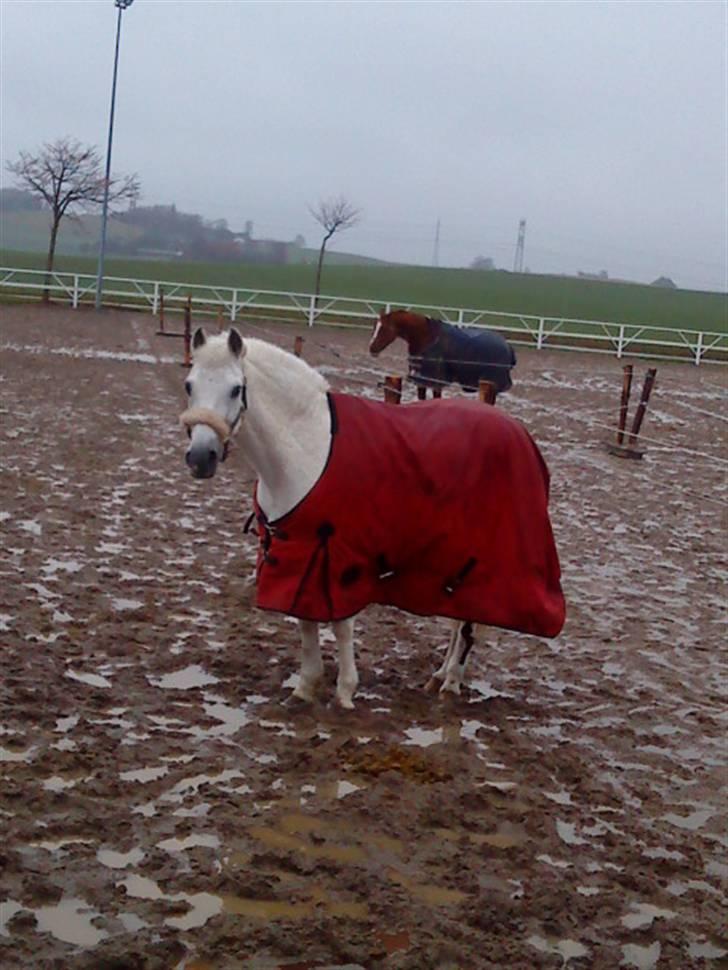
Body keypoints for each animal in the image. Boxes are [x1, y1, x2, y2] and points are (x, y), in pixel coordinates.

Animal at [180, 328, 564, 709]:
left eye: (236, 388)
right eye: (189, 385)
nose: (200, 458)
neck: (308, 449)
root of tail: (519, 434)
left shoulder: (338, 558)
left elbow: (341, 625)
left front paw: (345, 691)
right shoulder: (299, 556)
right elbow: (306, 623)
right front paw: (306, 687)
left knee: (469, 622)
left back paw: (452, 683)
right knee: (459, 618)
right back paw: (440, 675)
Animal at [369, 308, 516, 400]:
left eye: (383, 329)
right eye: (375, 326)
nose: (371, 349)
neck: (427, 339)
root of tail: (508, 346)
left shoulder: (436, 383)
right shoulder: (421, 382)